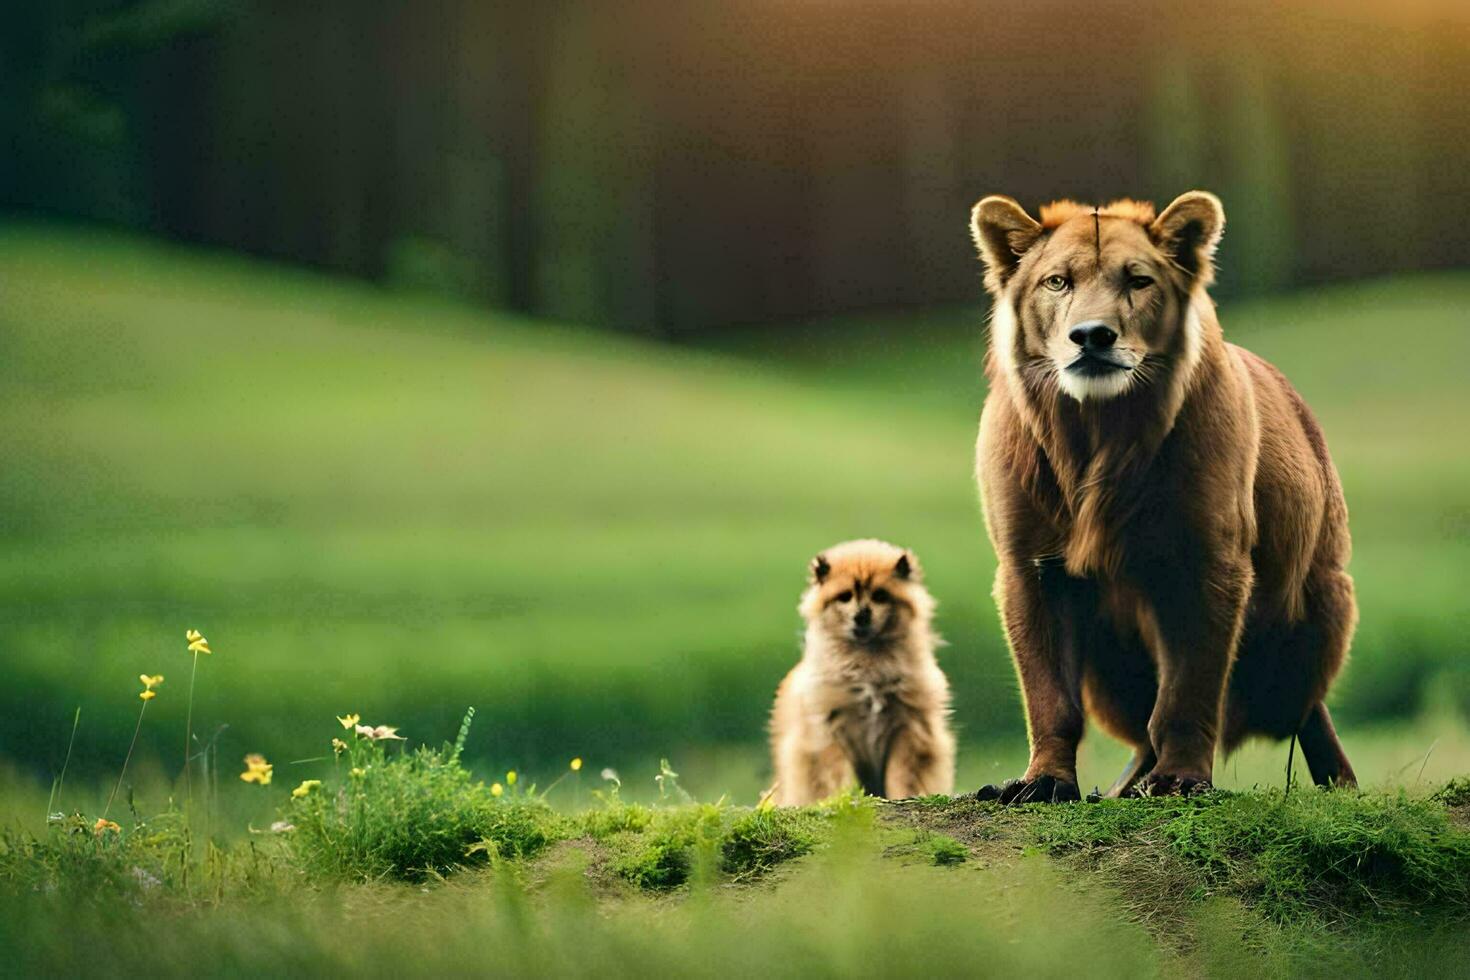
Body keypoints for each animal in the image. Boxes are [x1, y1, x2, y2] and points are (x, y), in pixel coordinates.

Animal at [764, 540, 958, 811]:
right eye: (845, 596)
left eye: (880, 596)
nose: (861, 615)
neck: (868, 664)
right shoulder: (832, 732)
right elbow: (840, 777)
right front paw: (843, 800)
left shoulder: (909, 730)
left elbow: (902, 775)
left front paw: (905, 796)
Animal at [964, 193, 1352, 805]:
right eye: (1058, 281)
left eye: (1138, 280)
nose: (1091, 335)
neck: (1098, 434)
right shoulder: (1031, 567)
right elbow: (1049, 697)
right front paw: (1043, 782)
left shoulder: (1208, 563)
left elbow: (1188, 689)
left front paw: (1182, 780)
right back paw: (1118, 790)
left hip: (1317, 614)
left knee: (1305, 709)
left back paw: (1340, 784)